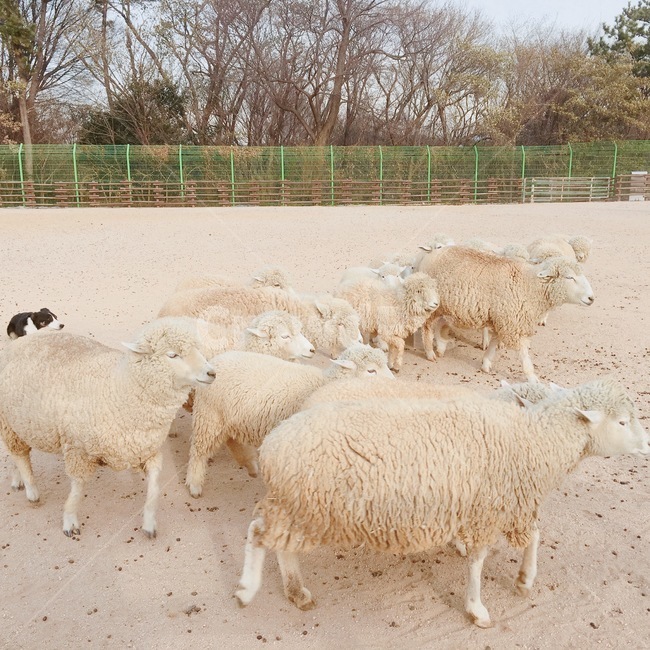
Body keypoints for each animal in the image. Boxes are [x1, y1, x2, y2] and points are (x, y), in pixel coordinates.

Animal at [0, 318, 215, 538]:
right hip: (8, 421)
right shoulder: (79, 449)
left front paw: (149, 523)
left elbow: (154, 487)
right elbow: (77, 489)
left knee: (19, 454)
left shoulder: (146, 450)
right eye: (172, 354)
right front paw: (70, 520)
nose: (212, 373)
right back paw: (31, 491)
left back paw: (18, 479)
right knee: (20, 455)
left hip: (20, 424)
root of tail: (26, 338)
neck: (120, 388)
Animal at [186, 344, 393, 498]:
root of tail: (215, 362)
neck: (324, 384)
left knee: (231, 440)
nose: (393, 383)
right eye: (371, 370)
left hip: (228, 416)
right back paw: (195, 485)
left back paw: (250, 465)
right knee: (199, 450)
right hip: (209, 415)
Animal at [235, 377, 648, 627]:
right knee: (258, 532)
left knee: (280, 545)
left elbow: (532, 535)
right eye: (622, 422)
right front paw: (478, 609)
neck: (532, 438)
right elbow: (479, 562)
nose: (647, 444)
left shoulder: (503, 502)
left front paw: (524, 579)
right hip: (308, 506)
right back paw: (247, 590)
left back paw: (296, 592)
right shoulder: (490, 508)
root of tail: (272, 444)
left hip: (303, 507)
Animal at [417, 246, 595, 381]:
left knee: (442, 323)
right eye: (569, 277)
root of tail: (430, 254)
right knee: (427, 327)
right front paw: (532, 377)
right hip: (432, 305)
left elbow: (495, 342)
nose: (591, 298)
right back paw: (430, 352)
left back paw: (441, 345)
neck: (529, 284)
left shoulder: (503, 318)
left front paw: (486, 363)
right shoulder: (512, 322)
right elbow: (523, 352)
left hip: (450, 307)